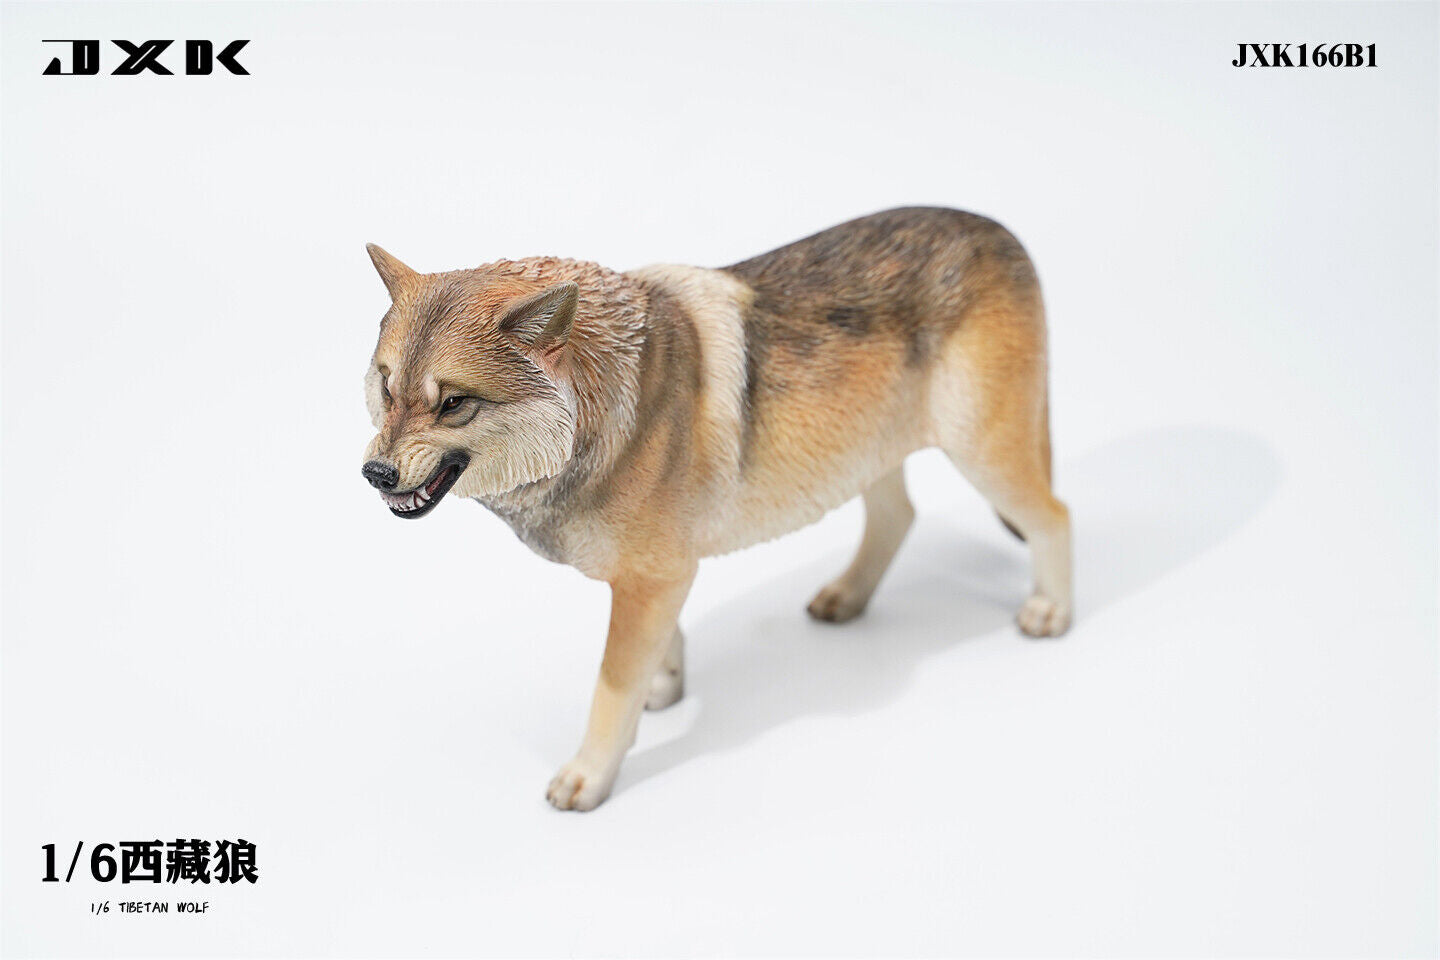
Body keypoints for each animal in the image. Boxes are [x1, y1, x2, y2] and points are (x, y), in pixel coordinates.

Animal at [360, 207, 1072, 811]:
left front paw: (590, 775)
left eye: (454, 403)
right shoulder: (658, 575)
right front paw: (665, 691)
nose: (375, 473)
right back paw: (846, 598)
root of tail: (1001, 230)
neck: (609, 407)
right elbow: (662, 648)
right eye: (387, 388)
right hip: (867, 455)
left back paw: (1051, 612)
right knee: (899, 518)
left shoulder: (654, 577)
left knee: (1054, 516)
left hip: (984, 455)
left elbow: (609, 685)